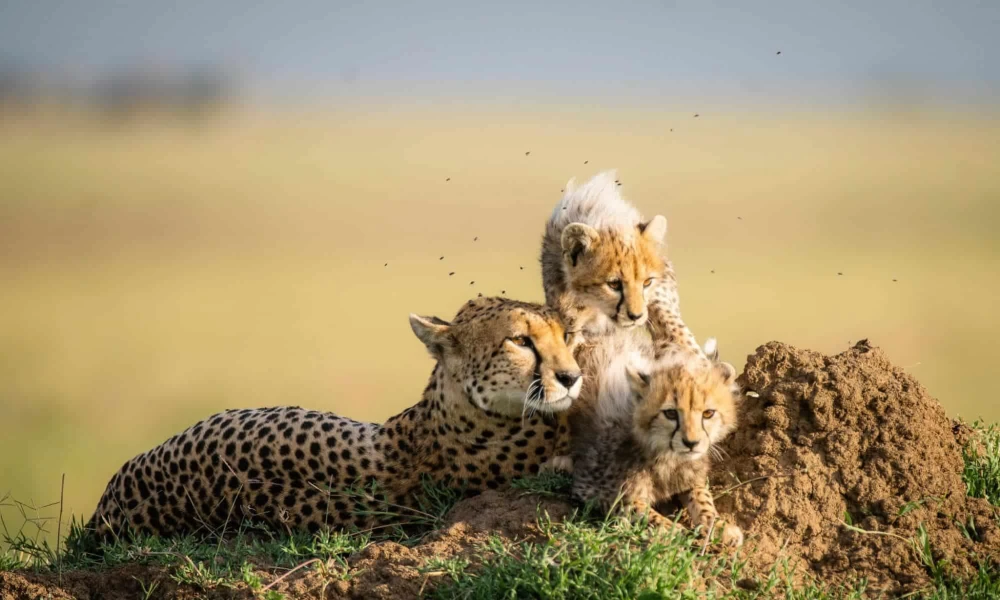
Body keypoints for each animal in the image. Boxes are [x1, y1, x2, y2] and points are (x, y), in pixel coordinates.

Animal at [569, 328, 744, 548]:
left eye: (708, 413)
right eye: (670, 413)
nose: (691, 443)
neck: (665, 454)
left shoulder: (689, 476)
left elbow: (702, 497)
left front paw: (719, 525)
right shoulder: (592, 488)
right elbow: (641, 510)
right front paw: (677, 532)